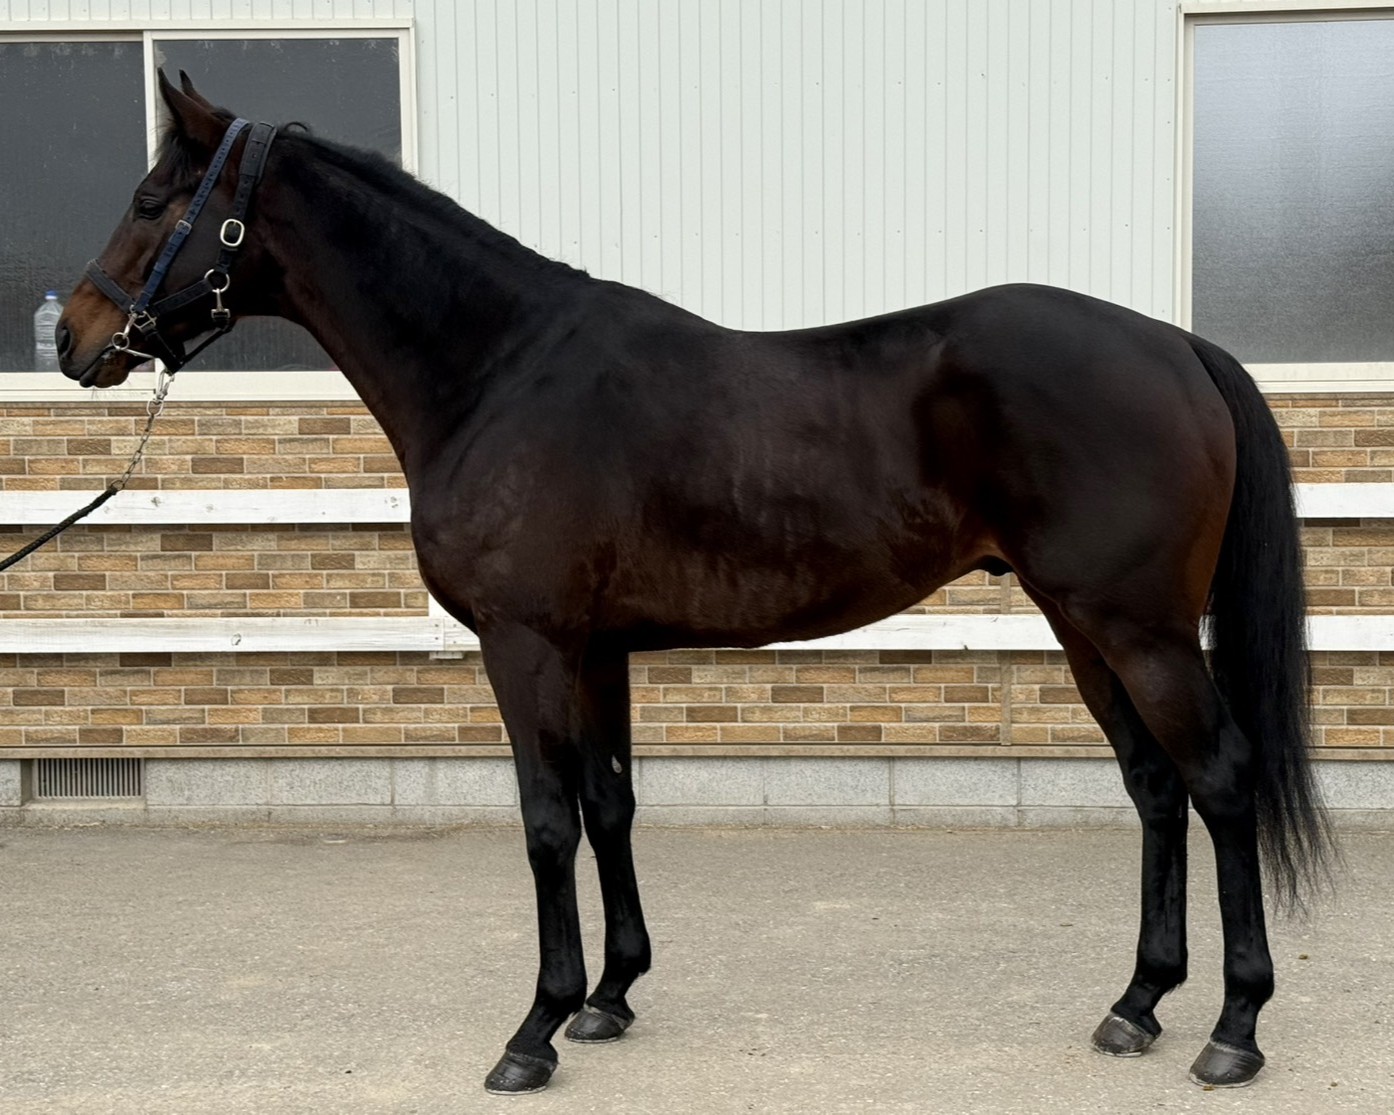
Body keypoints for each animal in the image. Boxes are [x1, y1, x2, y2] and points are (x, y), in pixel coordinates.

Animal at [56, 72, 1330, 1094]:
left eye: (152, 200)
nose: (69, 337)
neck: (497, 368)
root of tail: (1174, 345)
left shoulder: (525, 643)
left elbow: (544, 821)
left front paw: (534, 1029)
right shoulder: (594, 648)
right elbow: (609, 804)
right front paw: (610, 996)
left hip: (1137, 627)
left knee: (1217, 779)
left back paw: (1232, 1026)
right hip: (1081, 624)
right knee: (1154, 789)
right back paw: (1136, 1003)